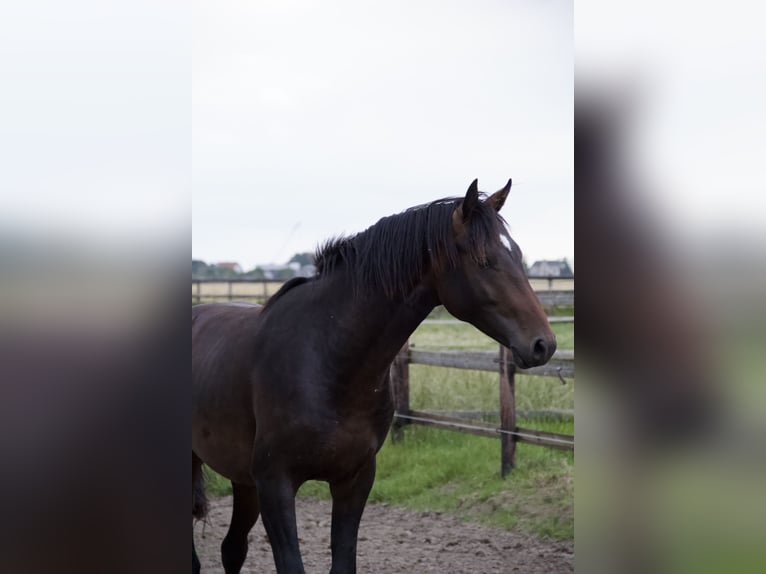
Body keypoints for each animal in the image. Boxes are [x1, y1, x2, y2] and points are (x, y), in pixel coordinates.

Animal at [192, 179, 556, 573]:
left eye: (517, 255)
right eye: (484, 261)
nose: (543, 344)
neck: (326, 360)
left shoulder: (355, 480)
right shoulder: (275, 484)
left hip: (242, 480)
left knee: (232, 549)